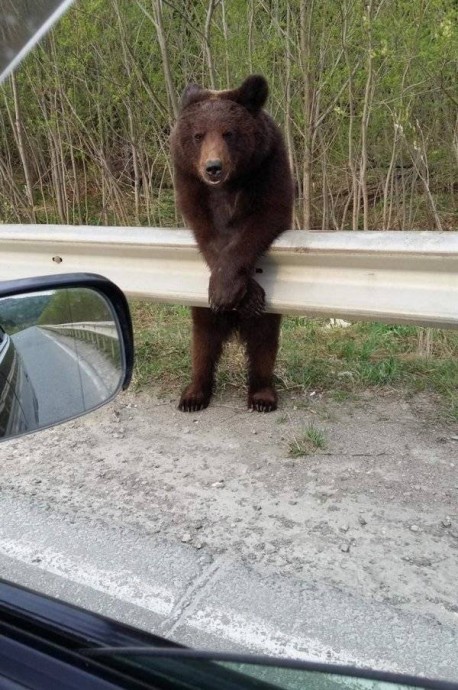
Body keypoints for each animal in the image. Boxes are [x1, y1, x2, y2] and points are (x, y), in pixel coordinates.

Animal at [171, 74, 294, 412]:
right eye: (198, 135)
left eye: (229, 133)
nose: (213, 167)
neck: (228, 184)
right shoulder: (188, 179)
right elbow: (206, 232)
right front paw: (228, 290)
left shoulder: (269, 165)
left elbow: (265, 218)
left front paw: (237, 292)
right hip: (201, 312)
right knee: (203, 341)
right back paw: (194, 393)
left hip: (267, 320)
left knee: (264, 343)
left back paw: (262, 395)